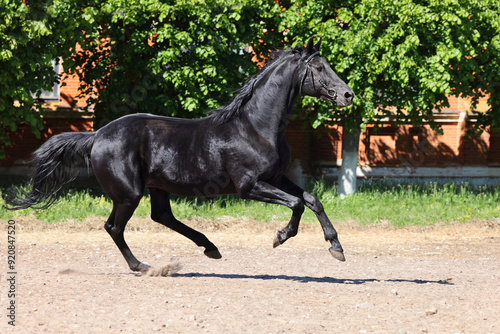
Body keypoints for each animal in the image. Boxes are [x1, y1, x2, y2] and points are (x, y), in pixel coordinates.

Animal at [6, 37, 352, 274]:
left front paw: (336, 247)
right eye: (319, 67)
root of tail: (97, 136)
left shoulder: (277, 178)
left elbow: (312, 200)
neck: (255, 126)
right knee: (114, 228)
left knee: (161, 216)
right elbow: (296, 204)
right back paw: (142, 266)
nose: (348, 95)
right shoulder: (250, 186)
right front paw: (280, 236)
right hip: (130, 193)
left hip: (157, 187)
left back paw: (210, 248)